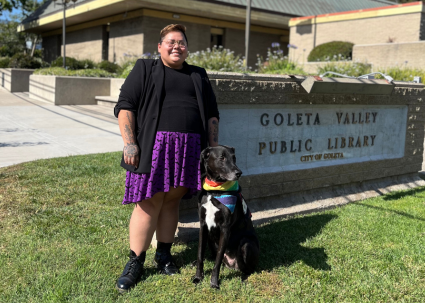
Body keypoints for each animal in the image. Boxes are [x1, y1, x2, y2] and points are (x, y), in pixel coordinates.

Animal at [192, 147, 258, 290]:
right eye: (222, 158)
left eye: (234, 158)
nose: (239, 173)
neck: (215, 191)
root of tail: (231, 264)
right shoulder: (203, 226)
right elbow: (200, 255)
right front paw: (198, 277)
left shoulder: (225, 229)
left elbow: (216, 263)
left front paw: (214, 282)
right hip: (210, 238)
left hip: (246, 244)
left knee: (249, 269)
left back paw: (244, 278)